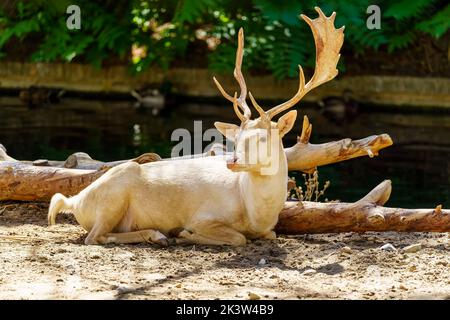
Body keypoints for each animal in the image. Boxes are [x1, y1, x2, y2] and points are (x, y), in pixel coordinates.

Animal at [49, 8, 342, 246]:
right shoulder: (204, 216)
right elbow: (237, 238)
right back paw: (160, 235)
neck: (255, 211)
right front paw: (184, 233)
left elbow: (269, 234)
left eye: (262, 138)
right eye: (238, 138)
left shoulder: (268, 228)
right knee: (94, 237)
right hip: (113, 196)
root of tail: (76, 200)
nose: (233, 161)